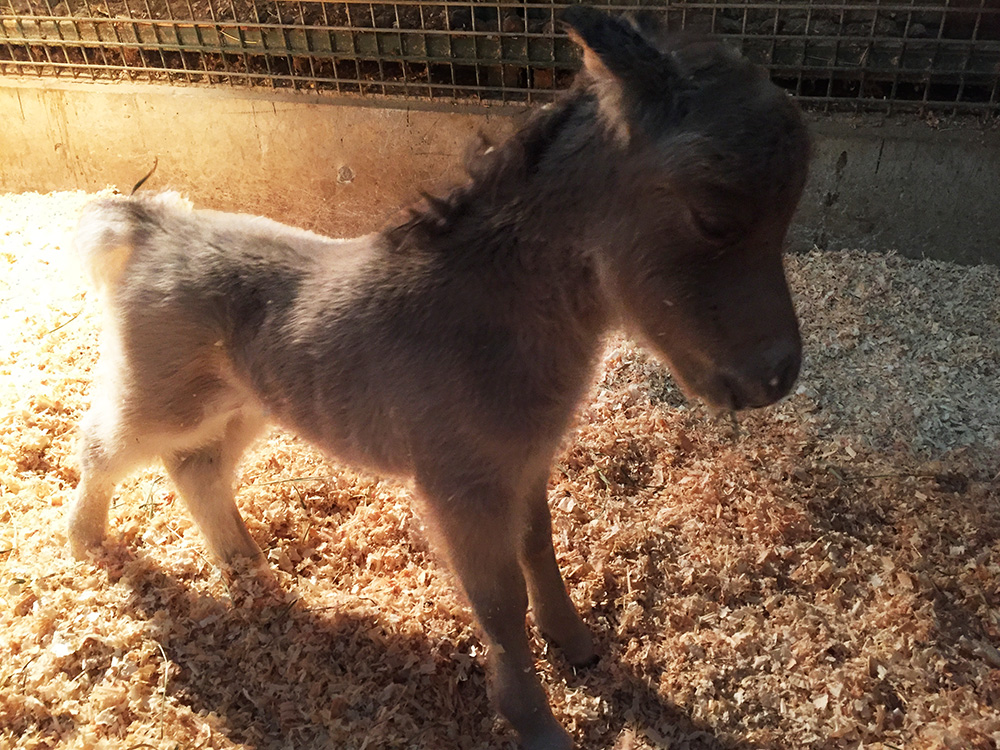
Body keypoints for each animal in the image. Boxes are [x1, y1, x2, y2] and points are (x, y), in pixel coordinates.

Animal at [66, 7, 808, 750]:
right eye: (712, 217)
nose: (776, 377)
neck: (492, 316)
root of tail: (154, 226)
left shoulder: (524, 465)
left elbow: (539, 551)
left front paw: (578, 646)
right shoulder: (464, 487)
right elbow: (501, 603)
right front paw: (538, 723)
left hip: (243, 406)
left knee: (199, 470)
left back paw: (250, 571)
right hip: (160, 397)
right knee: (103, 445)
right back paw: (87, 540)